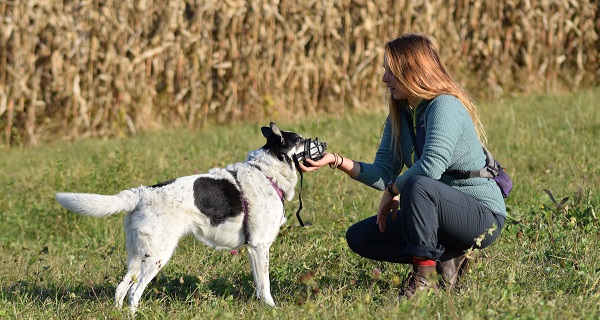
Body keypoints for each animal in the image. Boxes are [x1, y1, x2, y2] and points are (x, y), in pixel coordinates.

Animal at [55, 122, 316, 312]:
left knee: (121, 289)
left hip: (137, 256)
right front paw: (271, 309)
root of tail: (142, 192)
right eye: (301, 140)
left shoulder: (253, 249)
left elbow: (259, 285)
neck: (266, 173)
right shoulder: (259, 247)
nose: (321, 143)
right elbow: (266, 285)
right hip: (157, 256)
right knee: (133, 292)